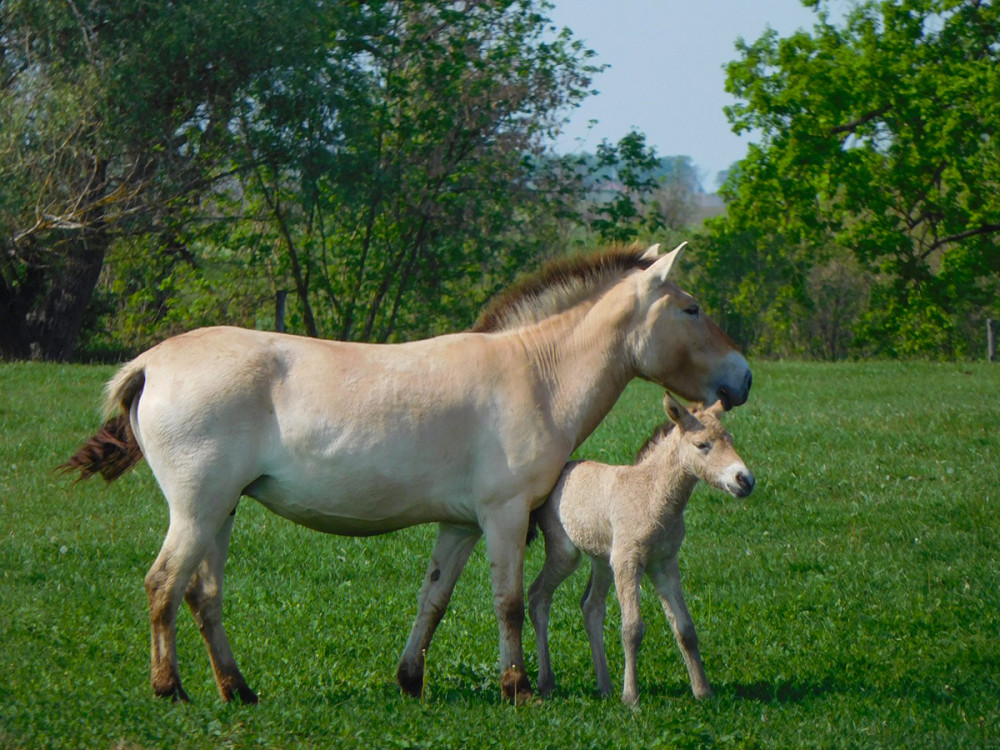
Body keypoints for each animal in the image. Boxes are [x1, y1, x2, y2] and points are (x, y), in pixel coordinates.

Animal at [528, 394, 752, 704]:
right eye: (702, 445)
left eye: (729, 439)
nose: (745, 480)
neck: (652, 494)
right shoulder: (629, 561)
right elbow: (632, 628)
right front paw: (631, 697)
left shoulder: (664, 563)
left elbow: (685, 627)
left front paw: (703, 691)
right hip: (566, 555)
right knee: (538, 596)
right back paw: (547, 683)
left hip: (602, 560)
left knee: (591, 607)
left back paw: (605, 686)